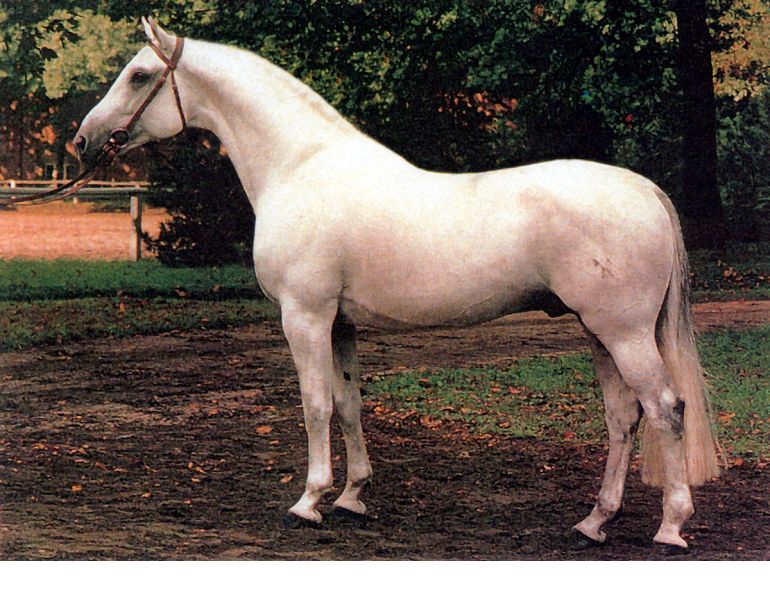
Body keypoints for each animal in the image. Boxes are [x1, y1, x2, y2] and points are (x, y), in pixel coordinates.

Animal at [74, 17, 720, 550]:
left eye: (139, 75)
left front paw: (308, 501)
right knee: (623, 417)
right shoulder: (339, 324)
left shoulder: (304, 316)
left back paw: (670, 527)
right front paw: (352, 497)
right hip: (598, 331)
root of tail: (644, 189)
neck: (301, 166)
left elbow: (314, 404)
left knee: (666, 409)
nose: (83, 140)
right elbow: (348, 403)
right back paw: (594, 522)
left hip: (624, 333)